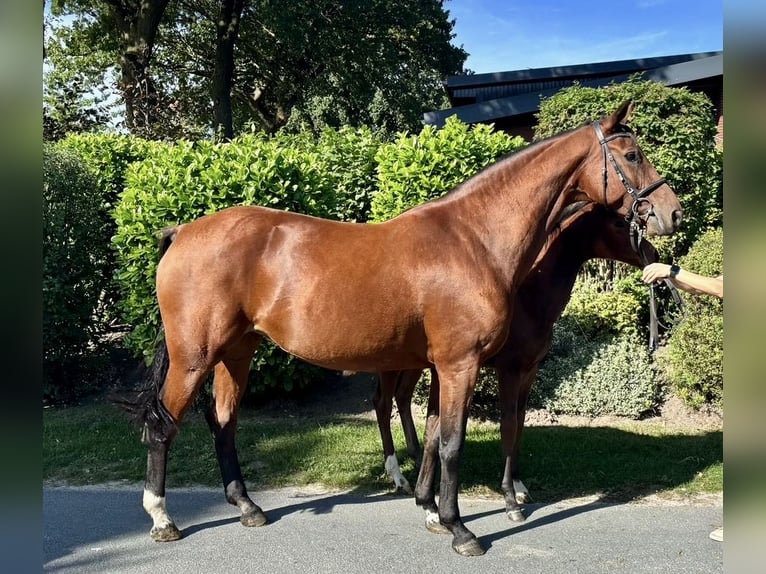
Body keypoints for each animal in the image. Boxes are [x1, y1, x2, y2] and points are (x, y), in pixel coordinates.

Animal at [372, 202, 659, 525]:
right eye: (620, 224)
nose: (654, 255)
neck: (529, 299)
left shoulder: (529, 371)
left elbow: (520, 423)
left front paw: (520, 487)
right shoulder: (508, 370)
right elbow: (508, 425)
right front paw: (510, 500)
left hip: (418, 364)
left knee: (403, 397)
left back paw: (417, 456)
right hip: (392, 363)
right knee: (383, 403)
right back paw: (397, 475)